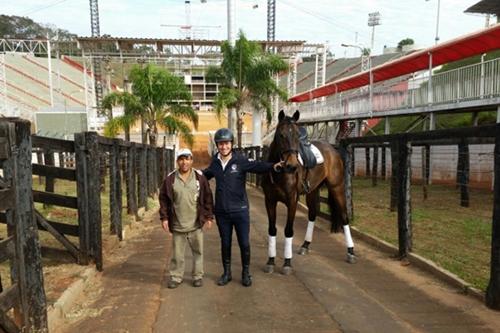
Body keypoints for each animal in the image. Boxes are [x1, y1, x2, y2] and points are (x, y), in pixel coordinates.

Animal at [262, 110, 356, 274]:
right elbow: (272, 230)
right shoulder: (269, 201)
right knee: (313, 214)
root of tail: (333, 149)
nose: (292, 165)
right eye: (281, 134)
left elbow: (288, 230)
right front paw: (271, 261)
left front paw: (287, 263)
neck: (279, 172)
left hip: (337, 187)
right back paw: (305, 245)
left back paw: (350, 251)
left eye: (297, 135)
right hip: (312, 191)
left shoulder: (292, 201)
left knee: (344, 216)